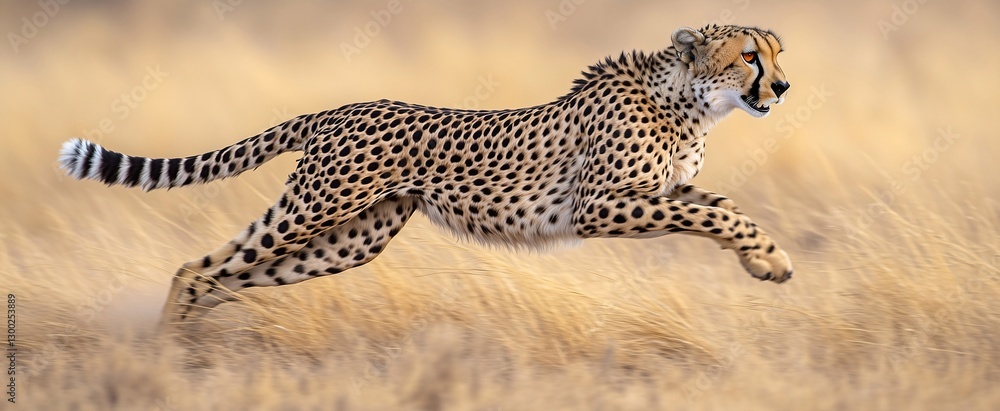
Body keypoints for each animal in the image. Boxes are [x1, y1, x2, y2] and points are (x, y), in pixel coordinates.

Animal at [58, 24, 793, 328]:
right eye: (749, 56)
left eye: (777, 53)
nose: (783, 87)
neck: (687, 101)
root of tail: (339, 107)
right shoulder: (600, 206)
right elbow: (711, 212)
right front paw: (769, 258)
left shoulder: (658, 191)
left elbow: (724, 206)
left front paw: (766, 258)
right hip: (315, 212)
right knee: (202, 266)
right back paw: (167, 349)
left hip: (351, 237)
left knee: (223, 271)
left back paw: (186, 344)